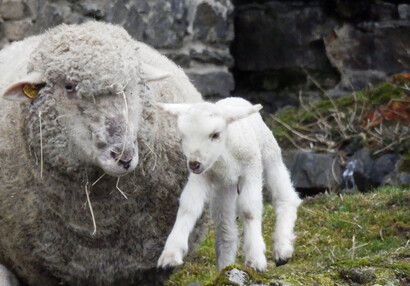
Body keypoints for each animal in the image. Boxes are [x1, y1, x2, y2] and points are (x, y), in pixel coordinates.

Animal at [157, 98, 302, 270]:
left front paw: (255, 259)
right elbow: (188, 206)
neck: (224, 156)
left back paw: (282, 249)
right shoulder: (202, 175)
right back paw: (225, 266)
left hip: (269, 153)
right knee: (225, 227)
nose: (194, 164)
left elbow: (249, 209)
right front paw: (170, 255)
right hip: (224, 188)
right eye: (183, 136)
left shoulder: (251, 168)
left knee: (285, 197)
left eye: (215, 135)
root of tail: (235, 99)